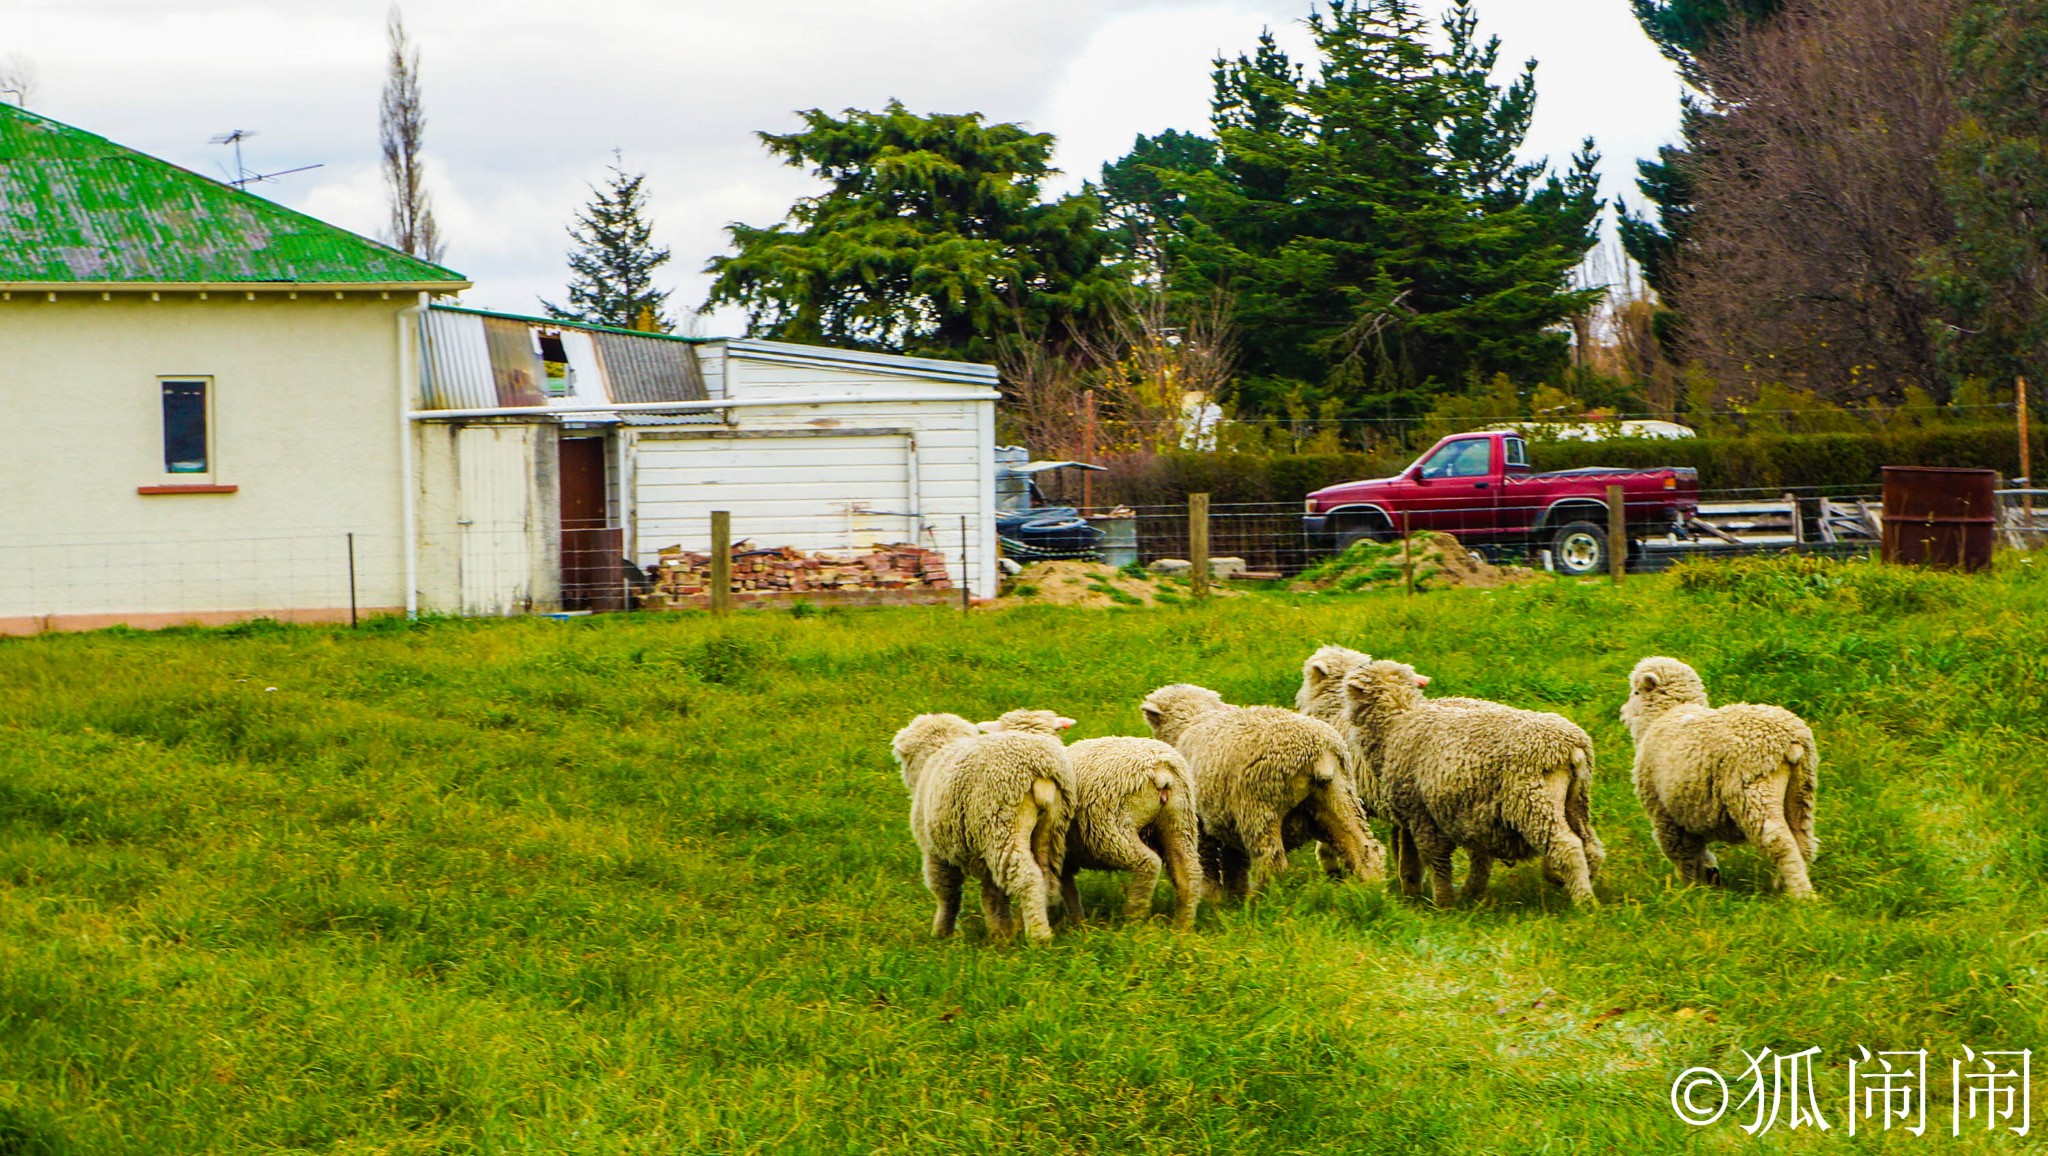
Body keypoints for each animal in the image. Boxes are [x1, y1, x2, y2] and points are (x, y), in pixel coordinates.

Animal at [892, 709, 1081, 942]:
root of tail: (1039, 770)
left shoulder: (935, 851)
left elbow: (948, 893)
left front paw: (942, 932)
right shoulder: (984, 854)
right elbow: (992, 896)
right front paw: (1001, 933)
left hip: (1002, 827)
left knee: (1028, 878)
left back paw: (1039, 936)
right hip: (1052, 831)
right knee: (1046, 879)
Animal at [974, 705, 1196, 930]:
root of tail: (1161, 771)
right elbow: (1068, 890)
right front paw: (1080, 925)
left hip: (1113, 830)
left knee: (1148, 863)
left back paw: (1134, 917)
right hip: (1179, 821)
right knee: (1188, 872)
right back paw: (1182, 926)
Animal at [1146, 680, 1384, 897]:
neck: (1192, 720)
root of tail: (1319, 753)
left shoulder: (1201, 823)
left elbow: (1209, 866)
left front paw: (1212, 900)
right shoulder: (1227, 820)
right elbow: (1234, 866)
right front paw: (1233, 901)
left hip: (1259, 807)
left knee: (1272, 861)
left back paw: (1261, 901)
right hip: (1340, 796)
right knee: (1365, 848)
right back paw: (1372, 890)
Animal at [1335, 664, 1605, 905]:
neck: (1399, 719)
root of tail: (1571, 746)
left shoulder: (1423, 815)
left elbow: (1435, 859)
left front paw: (1443, 903)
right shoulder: (1421, 814)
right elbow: (1413, 859)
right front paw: (1416, 896)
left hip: (1532, 800)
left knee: (1567, 847)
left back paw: (1584, 902)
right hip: (1575, 800)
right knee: (1589, 846)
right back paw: (1576, 882)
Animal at [1622, 659, 1818, 893]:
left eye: (1635, 692)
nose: (1622, 713)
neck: (1667, 713)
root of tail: (1790, 743)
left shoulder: (1665, 814)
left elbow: (1684, 853)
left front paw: (1689, 889)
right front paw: (1707, 880)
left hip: (1754, 789)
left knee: (1780, 841)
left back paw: (1801, 895)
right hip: (1801, 790)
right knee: (1802, 840)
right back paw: (1785, 884)